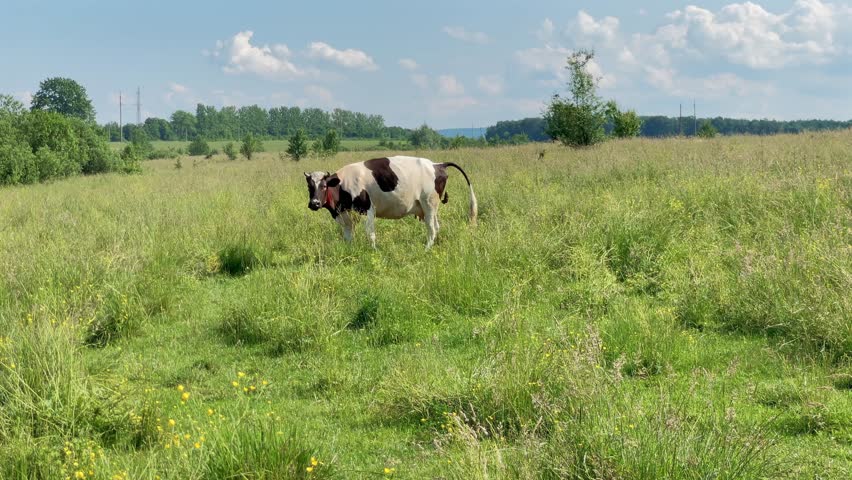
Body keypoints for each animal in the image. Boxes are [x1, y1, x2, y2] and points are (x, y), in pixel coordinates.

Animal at [304, 156, 477, 249]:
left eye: (324, 185)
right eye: (309, 186)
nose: (314, 203)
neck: (342, 185)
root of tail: (437, 164)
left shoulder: (368, 210)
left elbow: (370, 234)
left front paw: (374, 250)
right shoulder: (346, 215)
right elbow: (348, 236)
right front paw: (349, 250)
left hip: (429, 204)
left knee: (432, 228)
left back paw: (426, 249)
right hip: (431, 209)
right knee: (437, 227)